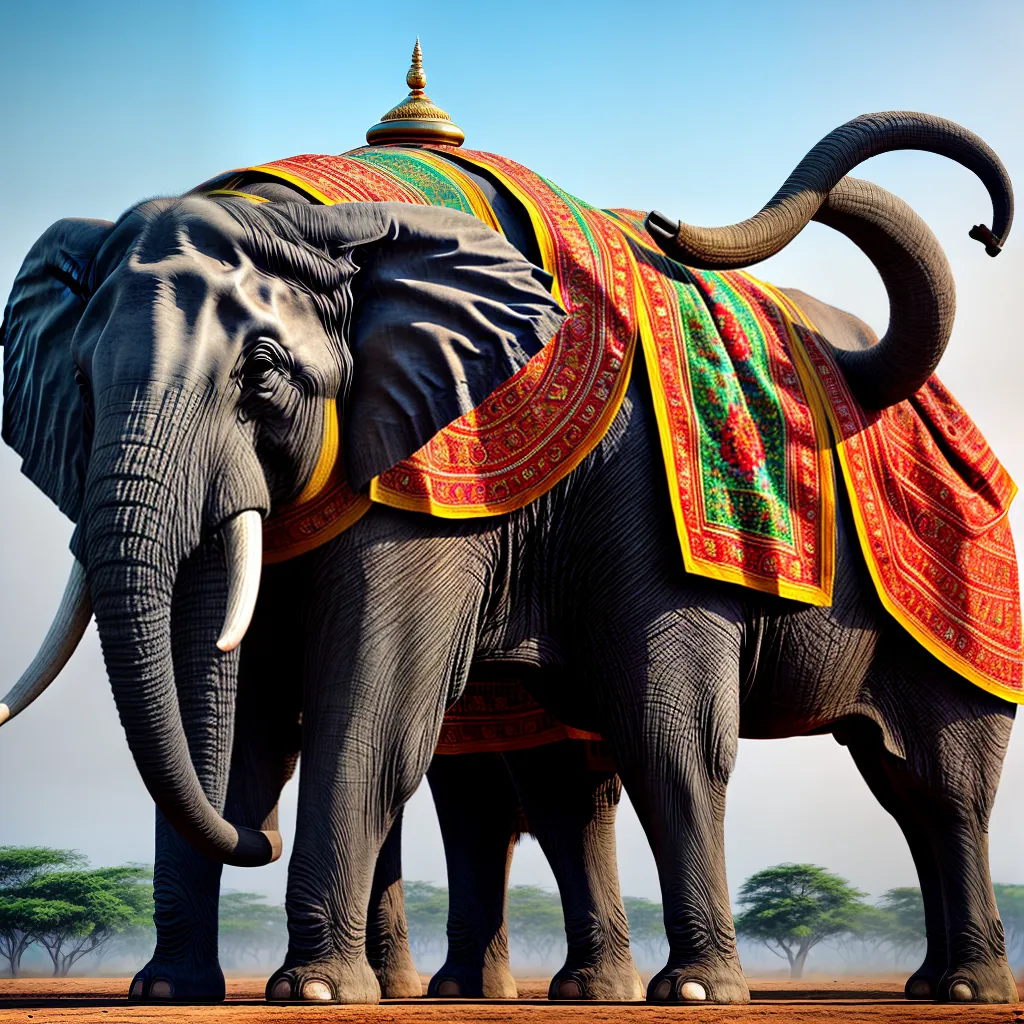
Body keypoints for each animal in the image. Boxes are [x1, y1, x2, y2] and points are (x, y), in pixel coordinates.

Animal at [1, 110, 1019, 1005]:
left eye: (262, 373)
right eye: (80, 382)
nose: (255, 839)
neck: (322, 222)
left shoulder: (465, 470)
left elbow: (390, 711)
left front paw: (319, 990)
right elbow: (271, 710)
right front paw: (169, 988)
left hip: (971, 585)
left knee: (937, 782)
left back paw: (952, 987)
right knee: (568, 793)